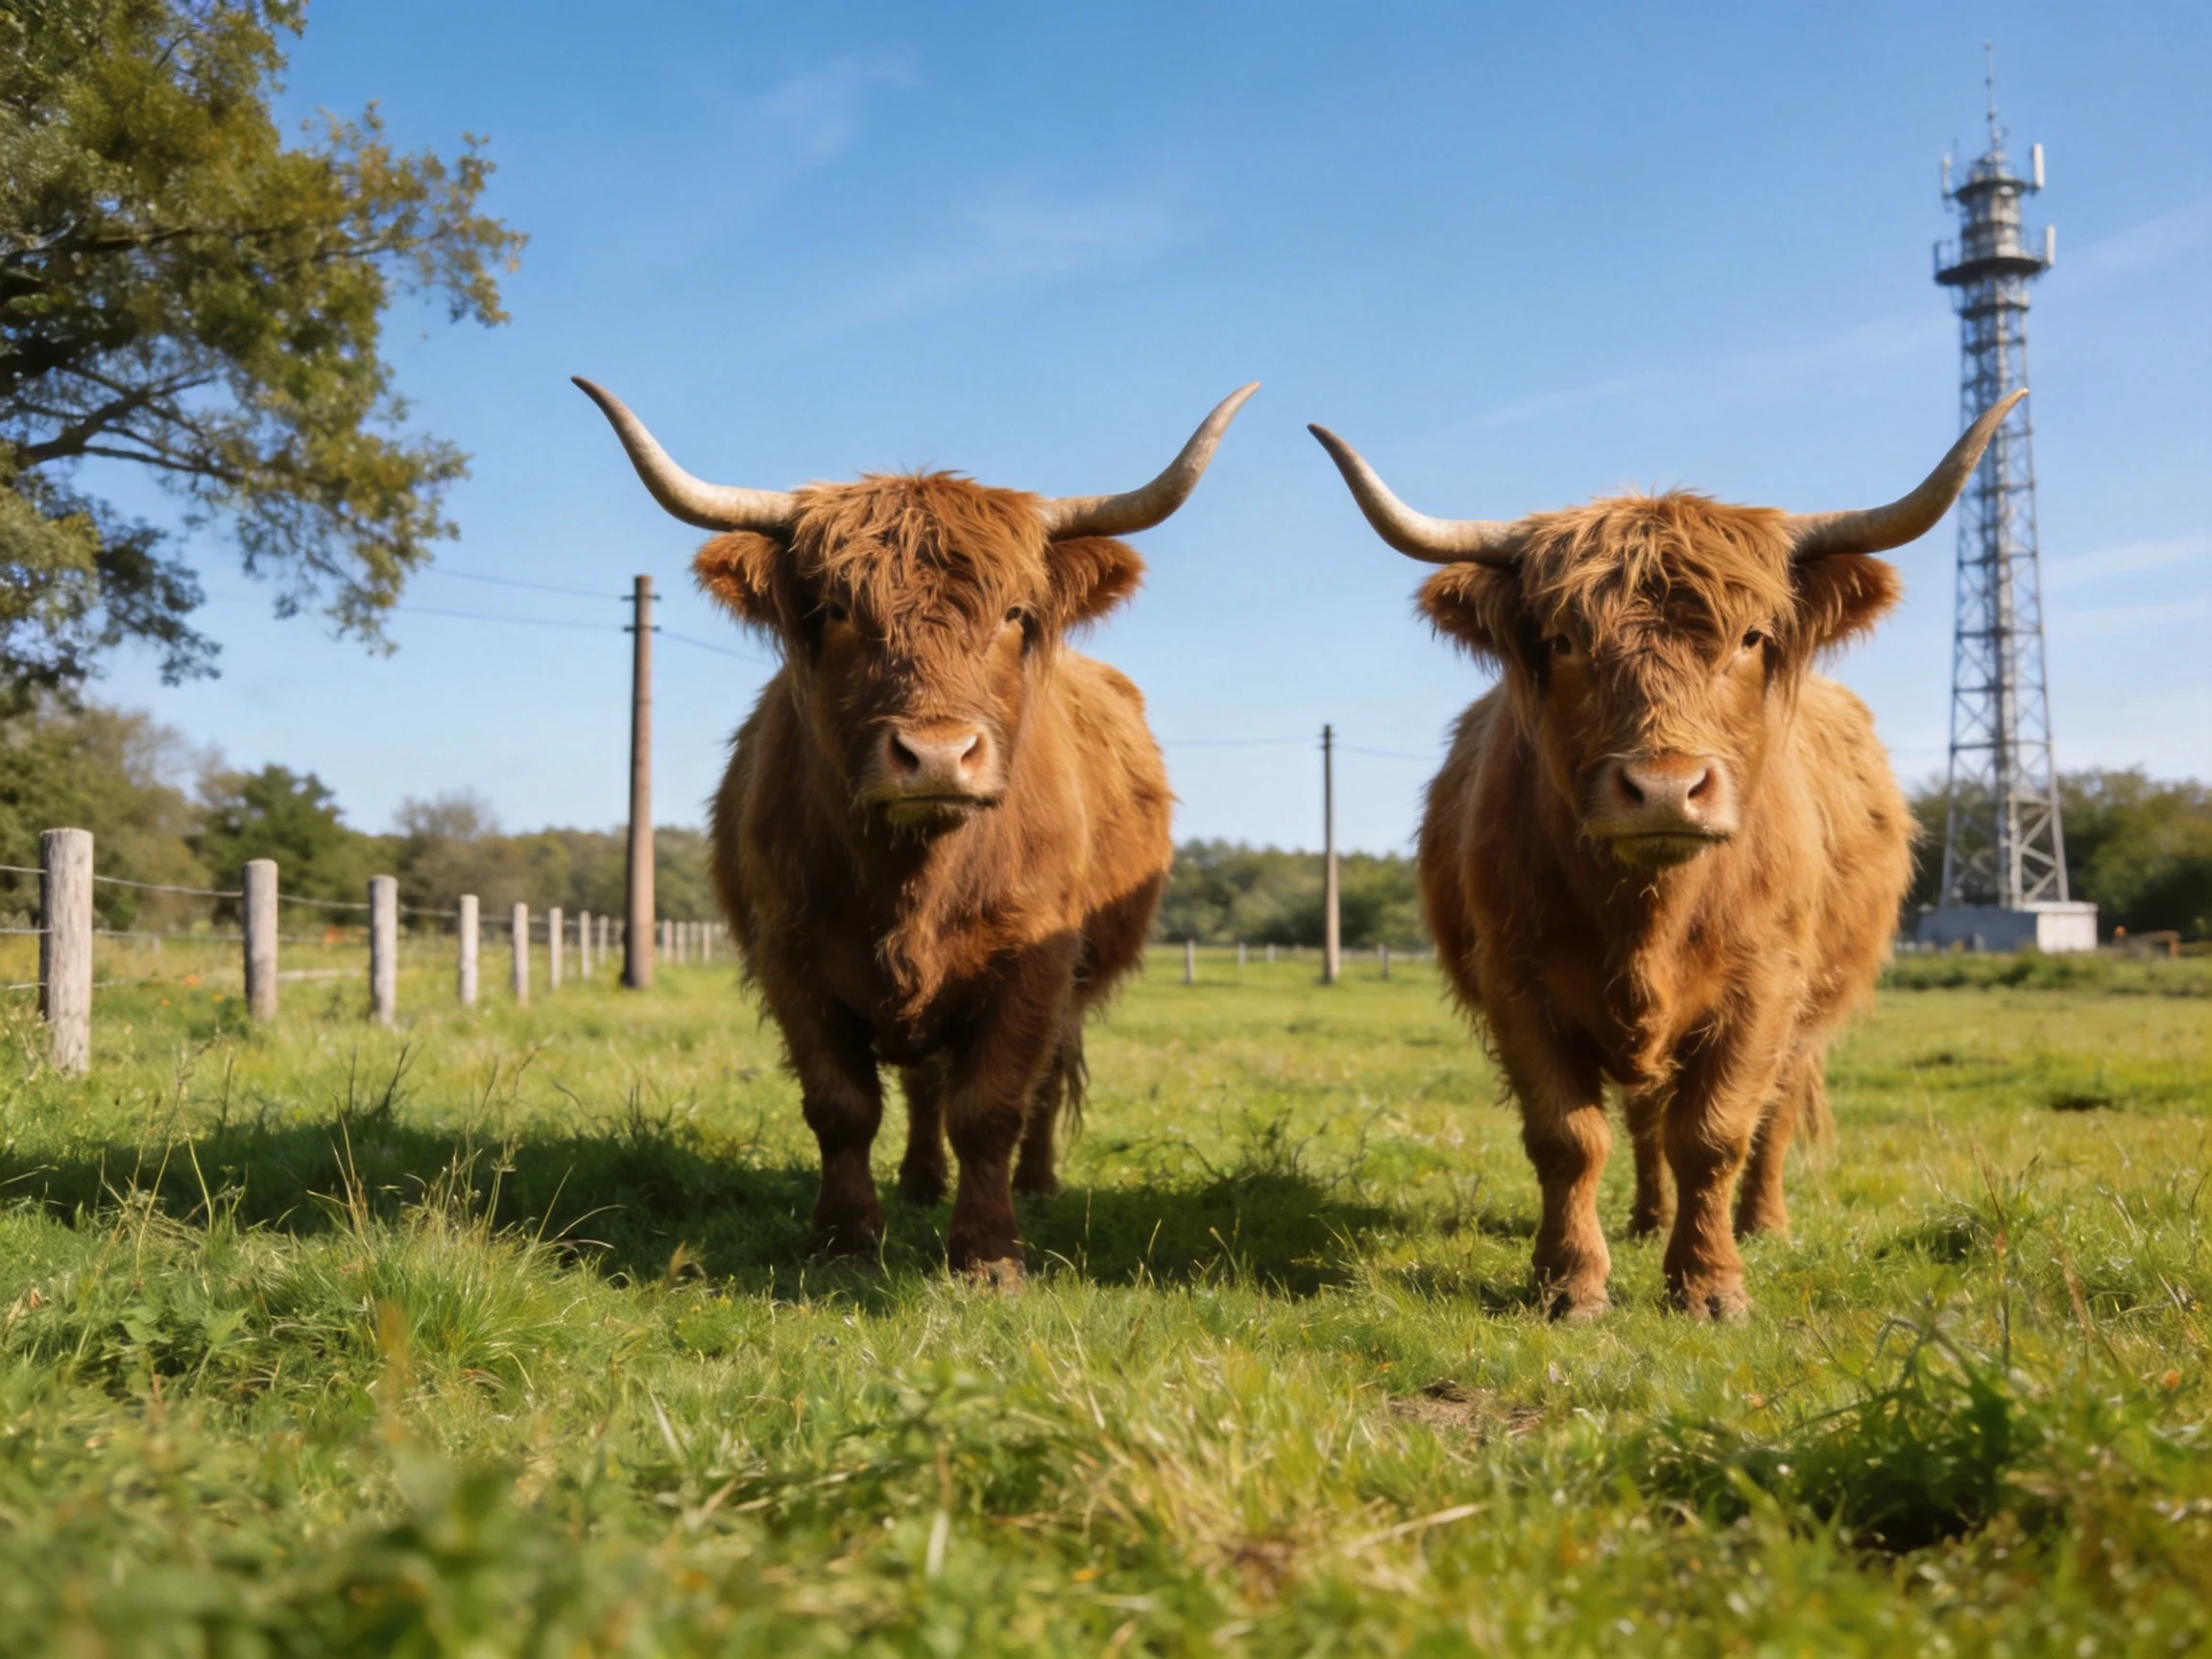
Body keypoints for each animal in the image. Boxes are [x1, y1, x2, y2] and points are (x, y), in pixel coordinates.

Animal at [576, 378, 1256, 1283]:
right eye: (834, 610)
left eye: (1015, 614)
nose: (936, 755)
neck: (914, 877)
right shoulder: (791, 955)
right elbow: (843, 1107)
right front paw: (843, 1241)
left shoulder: (1036, 959)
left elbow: (993, 1106)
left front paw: (990, 1254)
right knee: (925, 1085)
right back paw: (922, 1182)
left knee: (1039, 1082)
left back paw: (1036, 1182)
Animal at [1310, 394, 2023, 1319]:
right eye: (1565, 641)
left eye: (1750, 637)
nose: (1663, 788)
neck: (1648, 910)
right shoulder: (1517, 978)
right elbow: (1569, 1137)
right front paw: (1571, 1281)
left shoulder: (1765, 985)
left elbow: (1715, 1133)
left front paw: (1712, 1284)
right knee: (1645, 1115)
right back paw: (1647, 1221)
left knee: (1772, 1112)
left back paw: (1764, 1223)